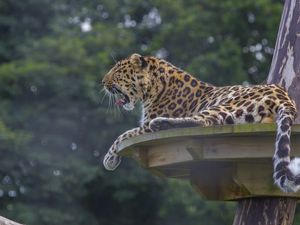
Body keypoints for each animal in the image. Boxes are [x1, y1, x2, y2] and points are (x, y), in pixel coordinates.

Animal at [102, 52, 298, 192]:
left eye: (117, 71)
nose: (103, 82)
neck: (155, 86)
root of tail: (284, 96)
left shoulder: (143, 127)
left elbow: (125, 134)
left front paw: (109, 159)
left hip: (227, 104)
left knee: (204, 121)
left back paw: (160, 123)